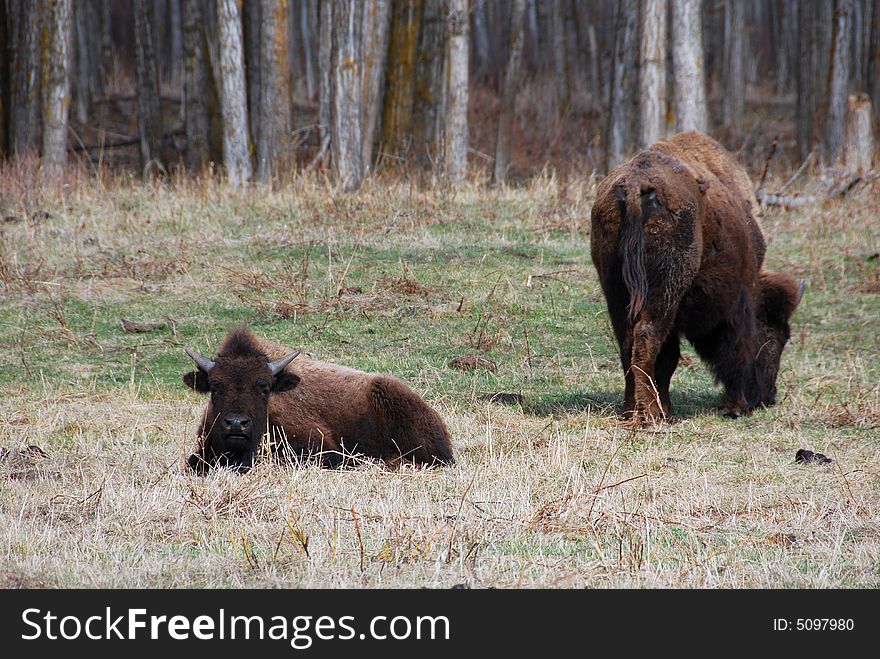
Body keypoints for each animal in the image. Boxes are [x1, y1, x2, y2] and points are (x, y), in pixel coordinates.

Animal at [588, 130, 800, 422]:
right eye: (778, 335)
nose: (769, 397)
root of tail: (635, 185)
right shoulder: (740, 306)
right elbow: (737, 349)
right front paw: (735, 406)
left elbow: (668, 360)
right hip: (664, 291)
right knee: (645, 338)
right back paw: (651, 414)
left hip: (617, 292)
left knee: (629, 343)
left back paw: (633, 410)